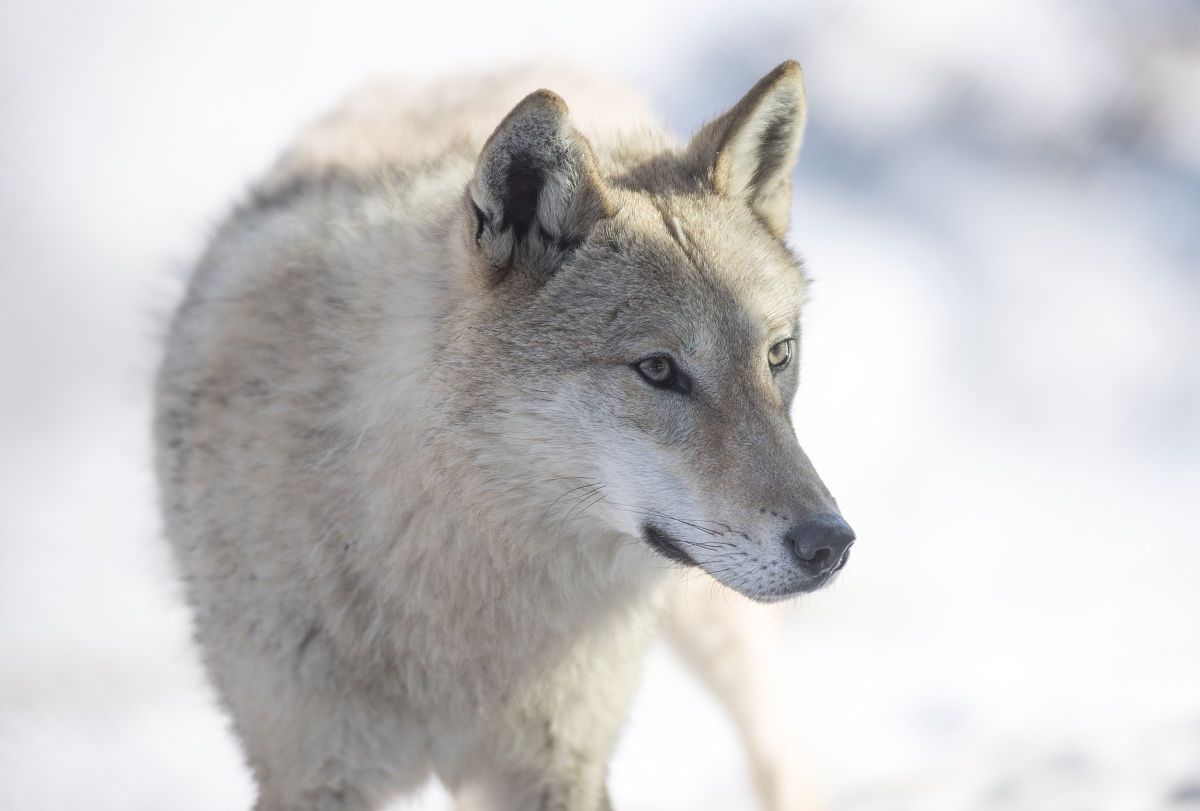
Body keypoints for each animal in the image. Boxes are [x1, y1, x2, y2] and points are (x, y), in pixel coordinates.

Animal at [157, 60, 854, 806]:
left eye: (777, 355)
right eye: (659, 369)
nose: (830, 544)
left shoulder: (556, 766)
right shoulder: (313, 773)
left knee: (780, 749)